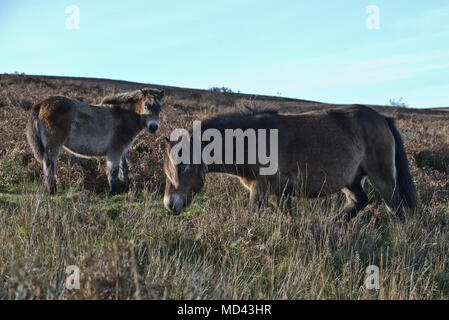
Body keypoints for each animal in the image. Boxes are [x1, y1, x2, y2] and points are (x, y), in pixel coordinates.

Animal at [25, 87, 164, 195]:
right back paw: (52, 191)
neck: (123, 115)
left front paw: (126, 188)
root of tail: (42, 103)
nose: (153, 126)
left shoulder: (123, 151)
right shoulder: (115, 150)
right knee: (50, 165)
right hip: (54, 146)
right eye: (146, 106)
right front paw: (113, 192)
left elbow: (124, 168)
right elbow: (113, 170)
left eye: (160, 109)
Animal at [162, 106, 416, 221]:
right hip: (351, 180)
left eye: (182, 167)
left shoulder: (262, 188)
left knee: (396, 208)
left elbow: (252, 214)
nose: (169, 205)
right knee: (359, 202)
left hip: (382, 178)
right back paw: (334, 225)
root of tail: (382, 117)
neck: (249, 140)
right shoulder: (281, 193)